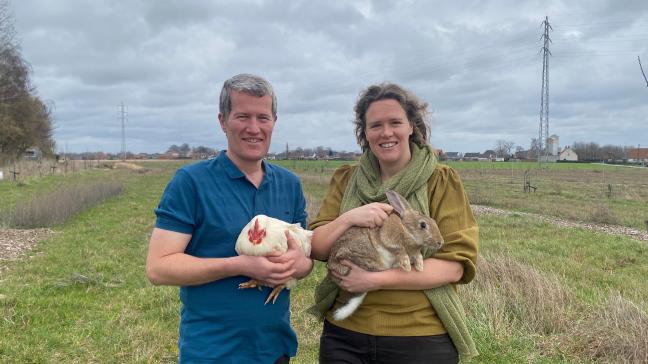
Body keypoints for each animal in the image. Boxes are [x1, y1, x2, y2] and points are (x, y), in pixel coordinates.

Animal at [326, 189, 442, 320]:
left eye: (434, 222)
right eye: (423, 225)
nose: (440, 242)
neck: (407, 230)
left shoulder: (415, 251)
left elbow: (418, 256)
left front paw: (420, 267)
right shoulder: (389, 237)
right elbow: (399, 250)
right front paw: (407, 266)